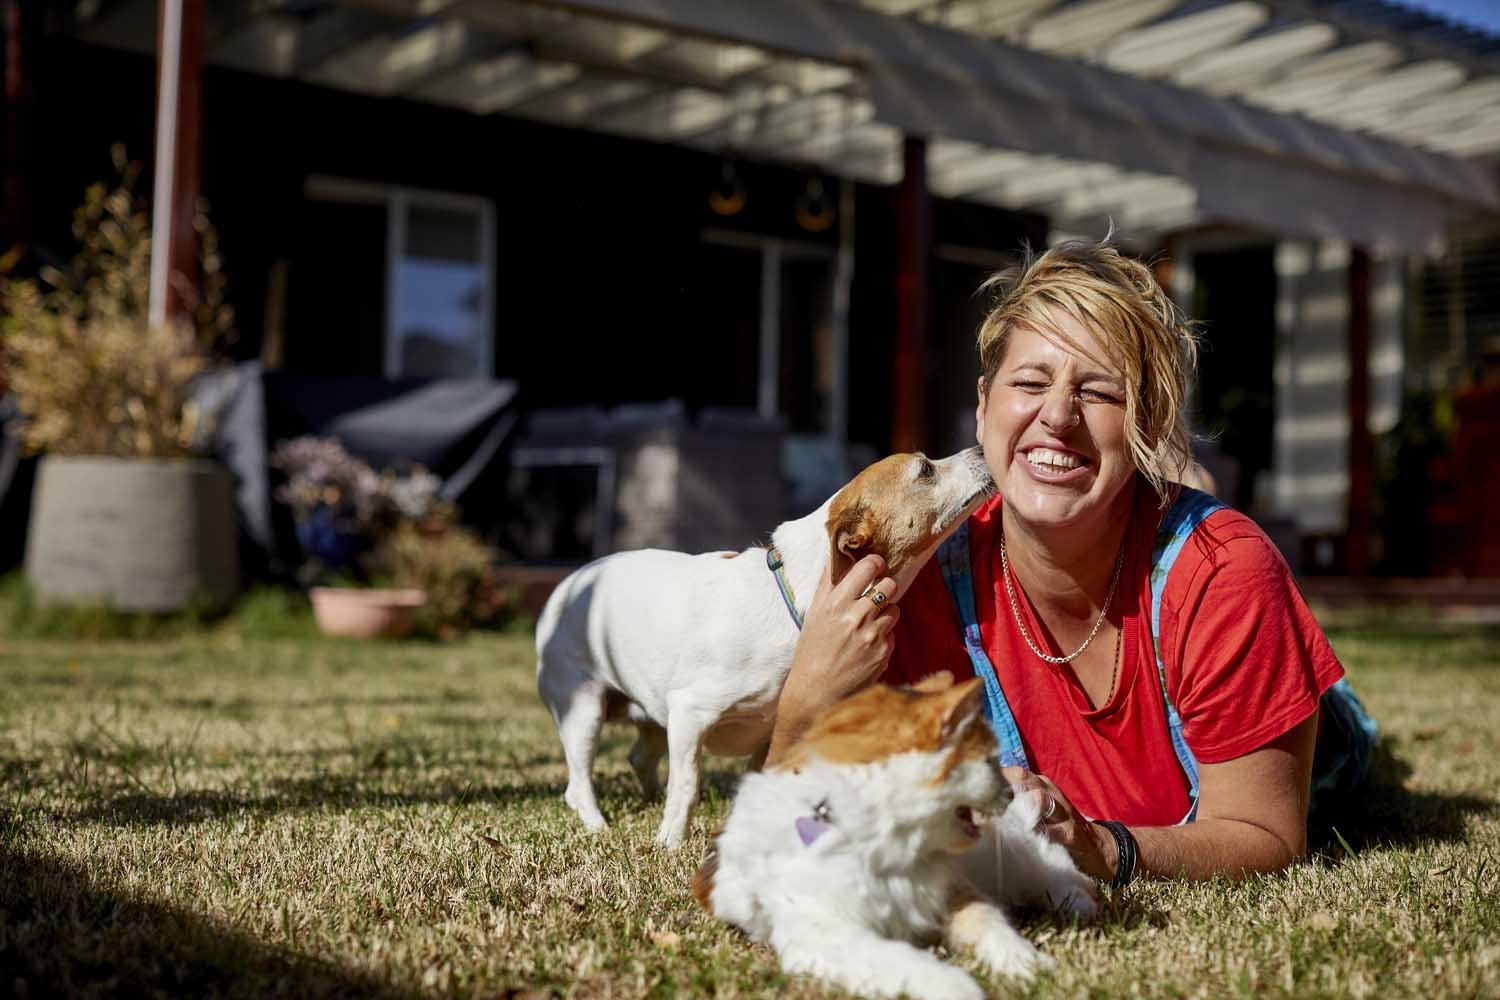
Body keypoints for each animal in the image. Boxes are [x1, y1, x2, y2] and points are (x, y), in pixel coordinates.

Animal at [535, 447, 994, 846]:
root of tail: (569, 584)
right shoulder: (689, 713)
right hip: (584, 710)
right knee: (579, 782)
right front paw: (670, 842)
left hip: (650, 715)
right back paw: (599, 824)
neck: (798, 602)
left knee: (639, 756)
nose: (979, 449)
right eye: (925, 470)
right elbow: (687, 785)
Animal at [692, 674, 1097, 1000]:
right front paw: (959, 986)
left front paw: (1027, 963)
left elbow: (993, 928)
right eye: (988, 762)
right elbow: (904, 960)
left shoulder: (956, 892)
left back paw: (1080, 903)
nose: (1009, 791)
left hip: (1003, 857)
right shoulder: (826, 933)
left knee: (1055, 869)